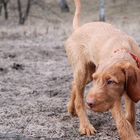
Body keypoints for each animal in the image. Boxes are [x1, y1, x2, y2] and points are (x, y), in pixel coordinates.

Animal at [65, 0, 140, 139]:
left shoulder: (131, 88)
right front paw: (130, 135)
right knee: (79, 99)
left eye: (111, 81)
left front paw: (133, 130)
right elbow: (122, 121)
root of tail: (79, 28)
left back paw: (71, 109)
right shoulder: (113, 99)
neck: (122, 48)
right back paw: (85, 125)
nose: (89, 103)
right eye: (97, 79)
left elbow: (131, 115)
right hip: (83, 71)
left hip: (88, 73)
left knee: (74, 84)